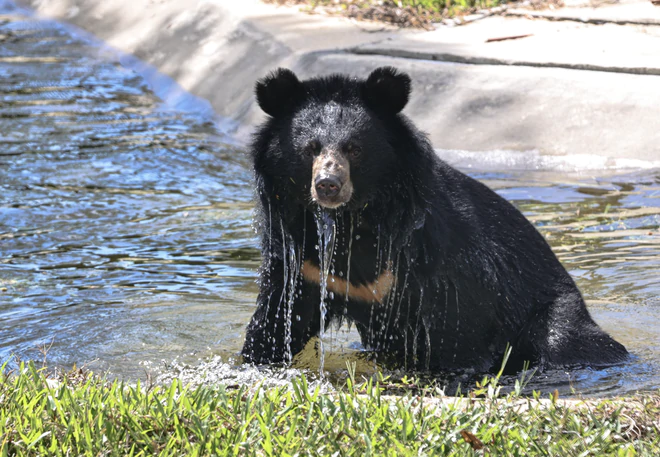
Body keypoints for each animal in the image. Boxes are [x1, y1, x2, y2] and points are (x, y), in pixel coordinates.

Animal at [241, 66, 628, 373]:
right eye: (310, 149)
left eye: (354, 148)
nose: (328, 185)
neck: (356, 217)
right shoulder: (301, 262)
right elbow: (276, 322)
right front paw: (252, 364)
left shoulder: (436, 257)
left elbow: (459, 328)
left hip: (554, 314)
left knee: (563, 339)